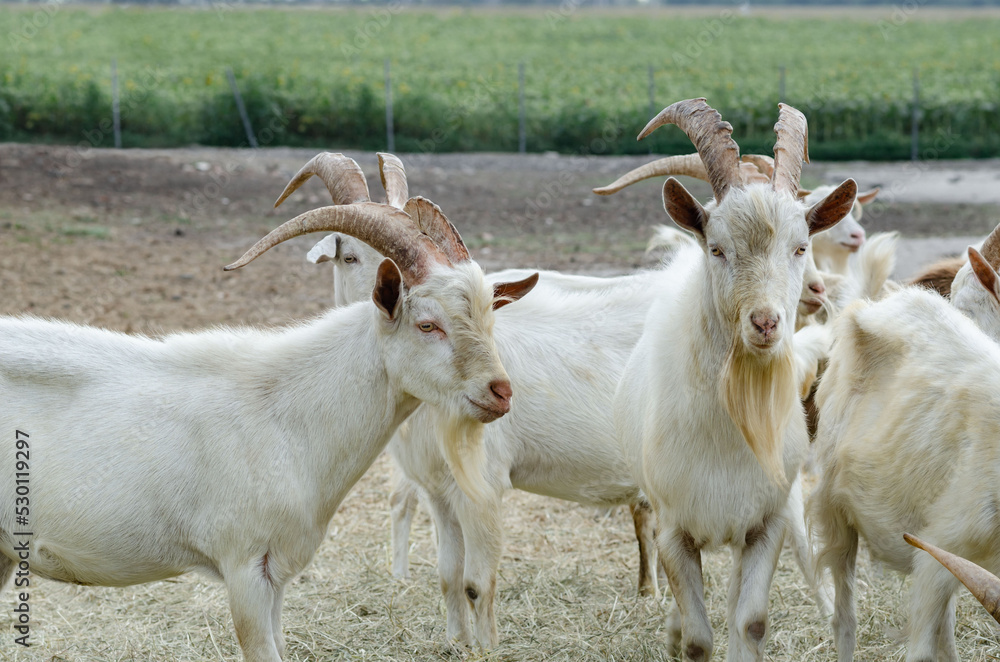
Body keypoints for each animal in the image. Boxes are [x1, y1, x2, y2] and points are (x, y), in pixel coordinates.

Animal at [0, 154, 537, 662]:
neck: (285, 414)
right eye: (427, 325)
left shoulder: (275, 573)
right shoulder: (245, 568)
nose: (500, 392)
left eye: (487, 316)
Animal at [614, 98, 857, 661]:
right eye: (718, 248)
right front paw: (681, 636)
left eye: (800, 247)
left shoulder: (764, 524)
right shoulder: (674, 528)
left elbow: (750, 621)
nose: (765, 322)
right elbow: (698, 638)